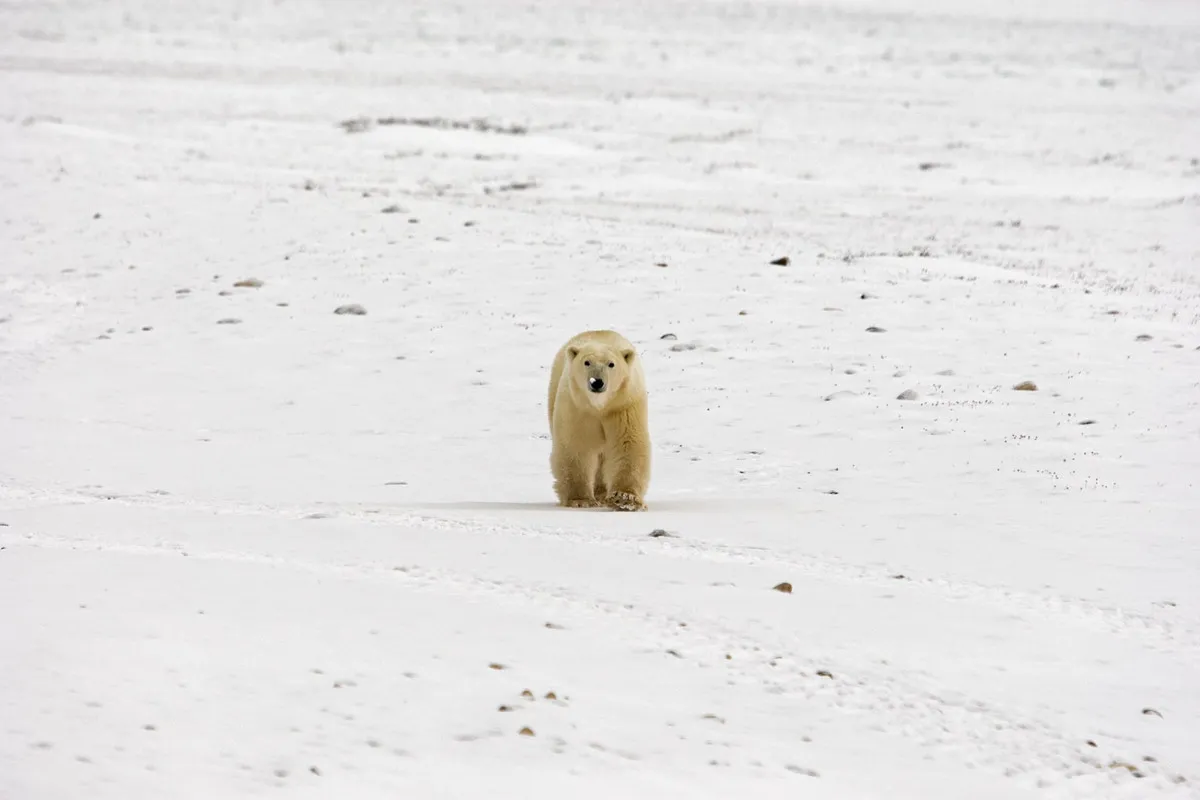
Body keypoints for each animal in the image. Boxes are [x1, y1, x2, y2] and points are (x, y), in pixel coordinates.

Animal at [549, 331, 652, 513]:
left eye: (611, 364)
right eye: (586, 362)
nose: (596, 382)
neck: (600, 405)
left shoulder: (624, 406)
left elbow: (628, 444)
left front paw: (624, 498)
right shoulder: (578, 408)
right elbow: (576, 445)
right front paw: (580, 500)